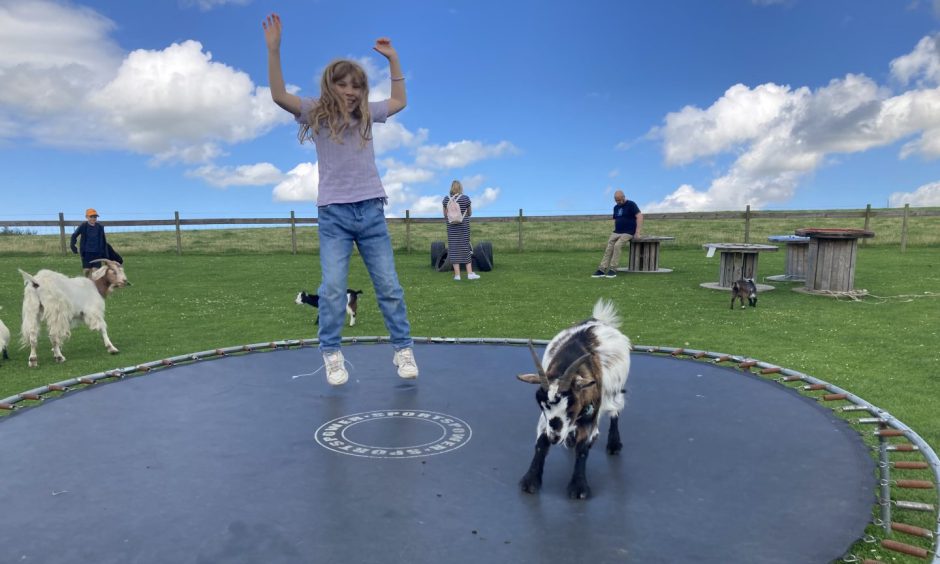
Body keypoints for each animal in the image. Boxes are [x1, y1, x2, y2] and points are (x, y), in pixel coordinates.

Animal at [516, 298, 628, 500]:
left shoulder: (592, 415)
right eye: (541, 405)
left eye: (571, 406)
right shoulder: (546, 420)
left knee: (616, 411)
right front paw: (530, 481)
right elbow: (540, 443)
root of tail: (598, 319)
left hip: (615, 391)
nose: (555, 438)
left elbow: (583, 449)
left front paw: (578, 487)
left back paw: (614, 444)